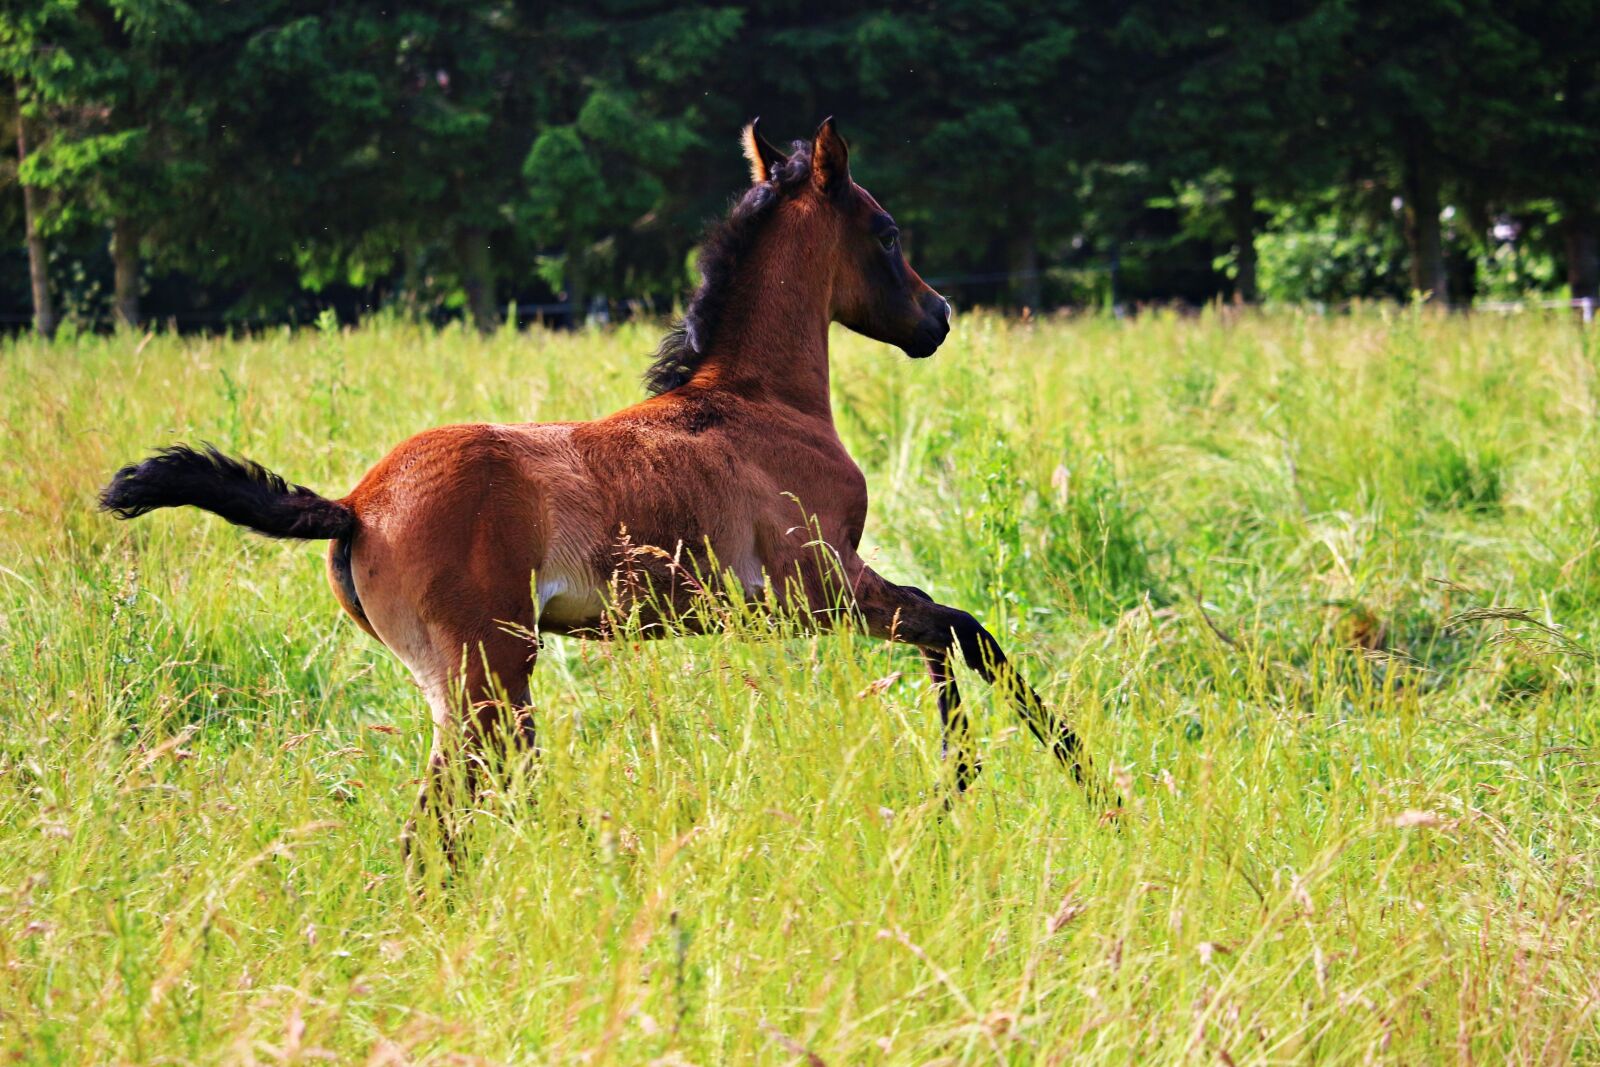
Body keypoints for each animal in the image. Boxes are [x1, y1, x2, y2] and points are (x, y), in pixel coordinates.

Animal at [100, 119, 1104, 859]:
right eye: (886, 232)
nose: (938, 317)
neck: (756, 403)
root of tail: (355, 503)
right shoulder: (816, 584)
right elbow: (958, 625)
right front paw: (1038, 783)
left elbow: (948, 630)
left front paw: (986, 785)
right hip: (489, 677)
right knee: (463, 815)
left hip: (463, 688)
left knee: (459, 815)